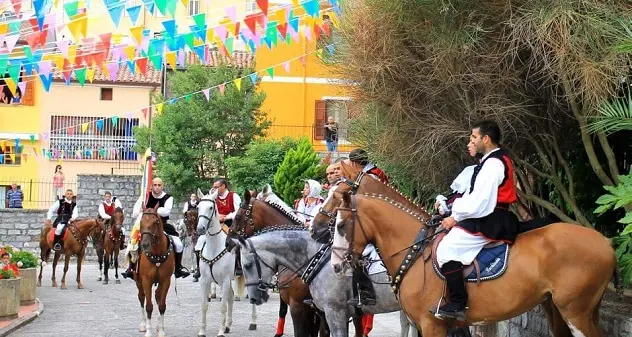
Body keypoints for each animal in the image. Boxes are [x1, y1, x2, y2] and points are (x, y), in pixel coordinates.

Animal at [134, 205, 173, 336]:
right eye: (141, 222)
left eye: (155, 222)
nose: (145, 244)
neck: (157, 253)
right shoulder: (146, 280)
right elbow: (149, 306)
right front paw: (148, 331)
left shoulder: (166, 280)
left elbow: (162, 305)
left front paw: (161, 330)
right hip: (139, 281)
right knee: (141, 298)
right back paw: (143, 324)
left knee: (157, 296)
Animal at [196, 189, 258, 336]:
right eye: (198, 207)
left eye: (211, 207)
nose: (200, 228)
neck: (214, 246)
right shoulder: (205, 280)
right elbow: (204, 306)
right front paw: (202, 331)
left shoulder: (224, 281)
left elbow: (223, 306)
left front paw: (220, 332)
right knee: (231, 296)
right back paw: (228, 325)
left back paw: (253, 322)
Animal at [316, 190, 616, 336]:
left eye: (340, 226)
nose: (336, 266)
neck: (416, 250)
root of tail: (605, 241)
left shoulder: (432, 325)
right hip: (558, 308)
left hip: (575, 311)